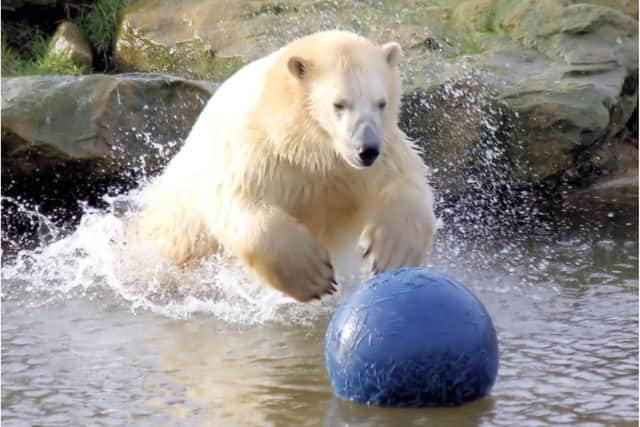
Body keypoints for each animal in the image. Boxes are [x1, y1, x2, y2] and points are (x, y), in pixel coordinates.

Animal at [135, 30, 436, 302]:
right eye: (339, 104)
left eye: (381, 103)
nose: (367, 150)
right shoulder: (262, 152)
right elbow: (240, 201)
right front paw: (312, 275)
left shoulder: (376, 157)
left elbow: (407, 182)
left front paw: (389, 253)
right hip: (178, 222)